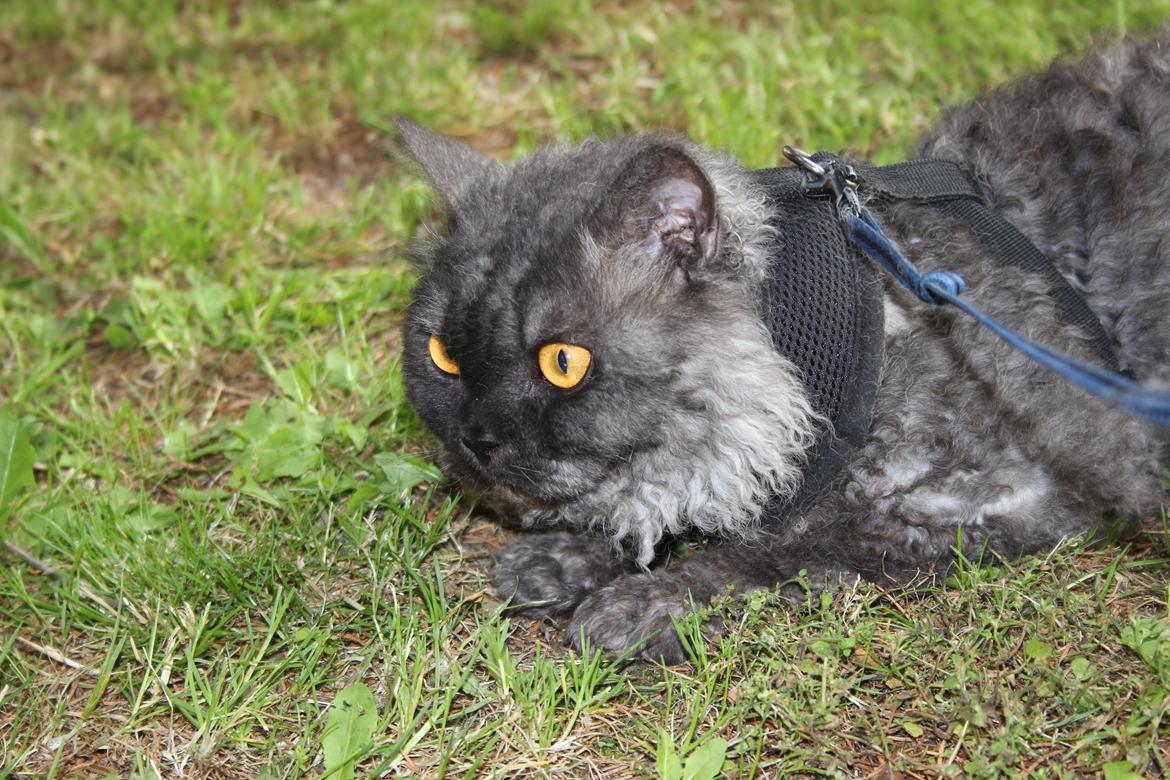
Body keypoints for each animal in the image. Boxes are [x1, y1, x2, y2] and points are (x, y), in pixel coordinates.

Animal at [400, 33, 1170, 664]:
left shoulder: (1002, 498)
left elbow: (786, 547)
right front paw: (572, 555)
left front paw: (652, 600)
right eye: (442, 356)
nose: (475, 437)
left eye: (563, 362)